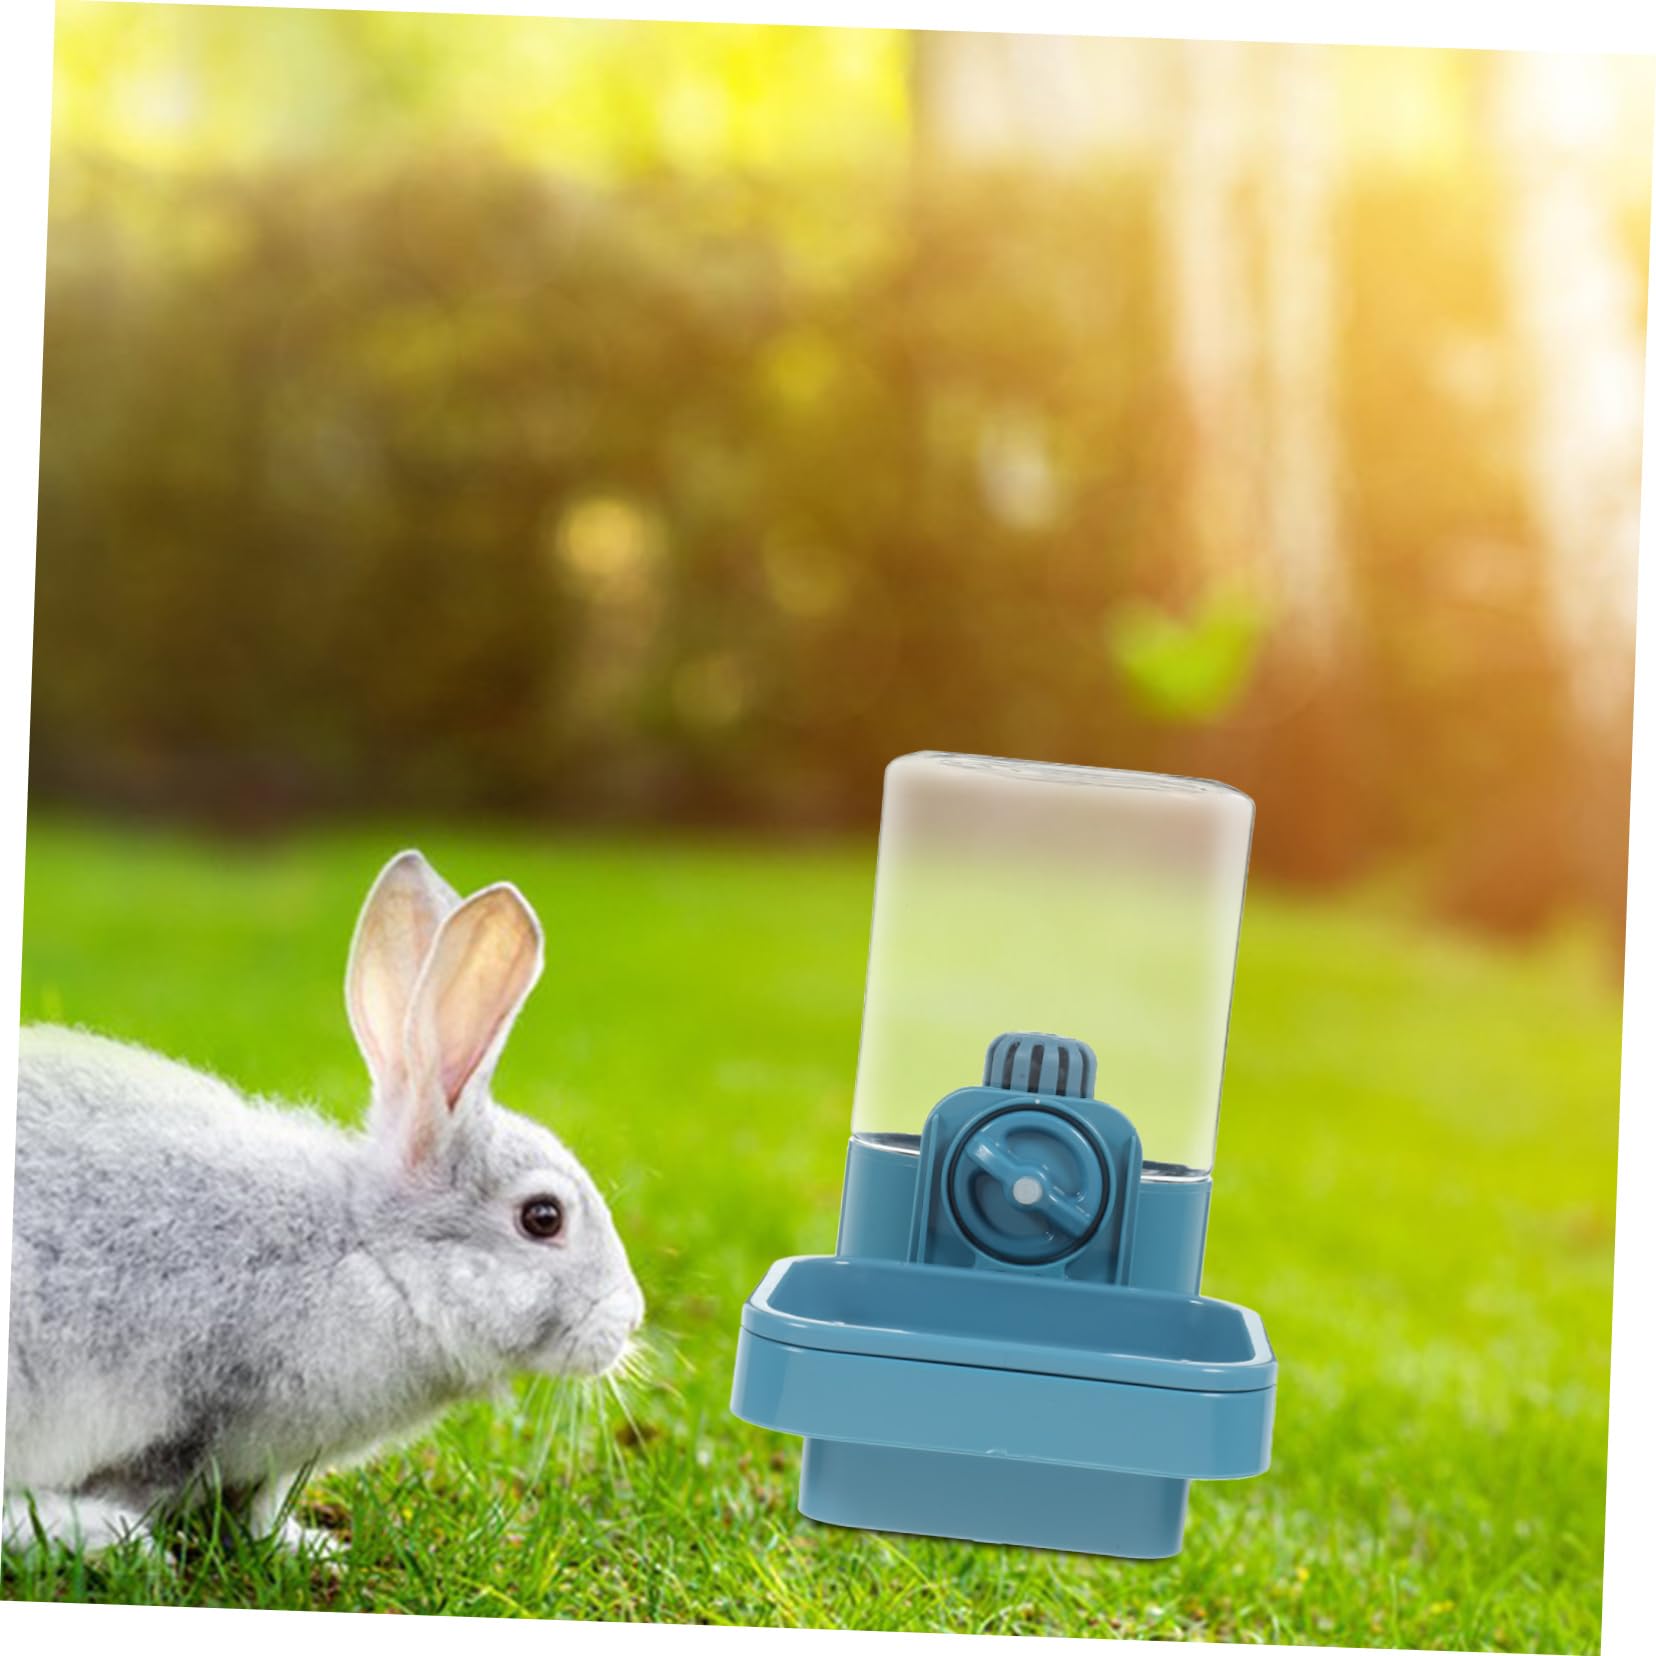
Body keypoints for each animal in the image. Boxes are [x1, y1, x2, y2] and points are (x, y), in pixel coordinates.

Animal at [4, 849, 645, 1557]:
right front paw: (114, 1534)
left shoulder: (266, 1461)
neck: (373, 1257)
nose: (630, 1320)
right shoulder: (195, 1416)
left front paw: (304, 1546)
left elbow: (258, 1506)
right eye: (543, 1217)